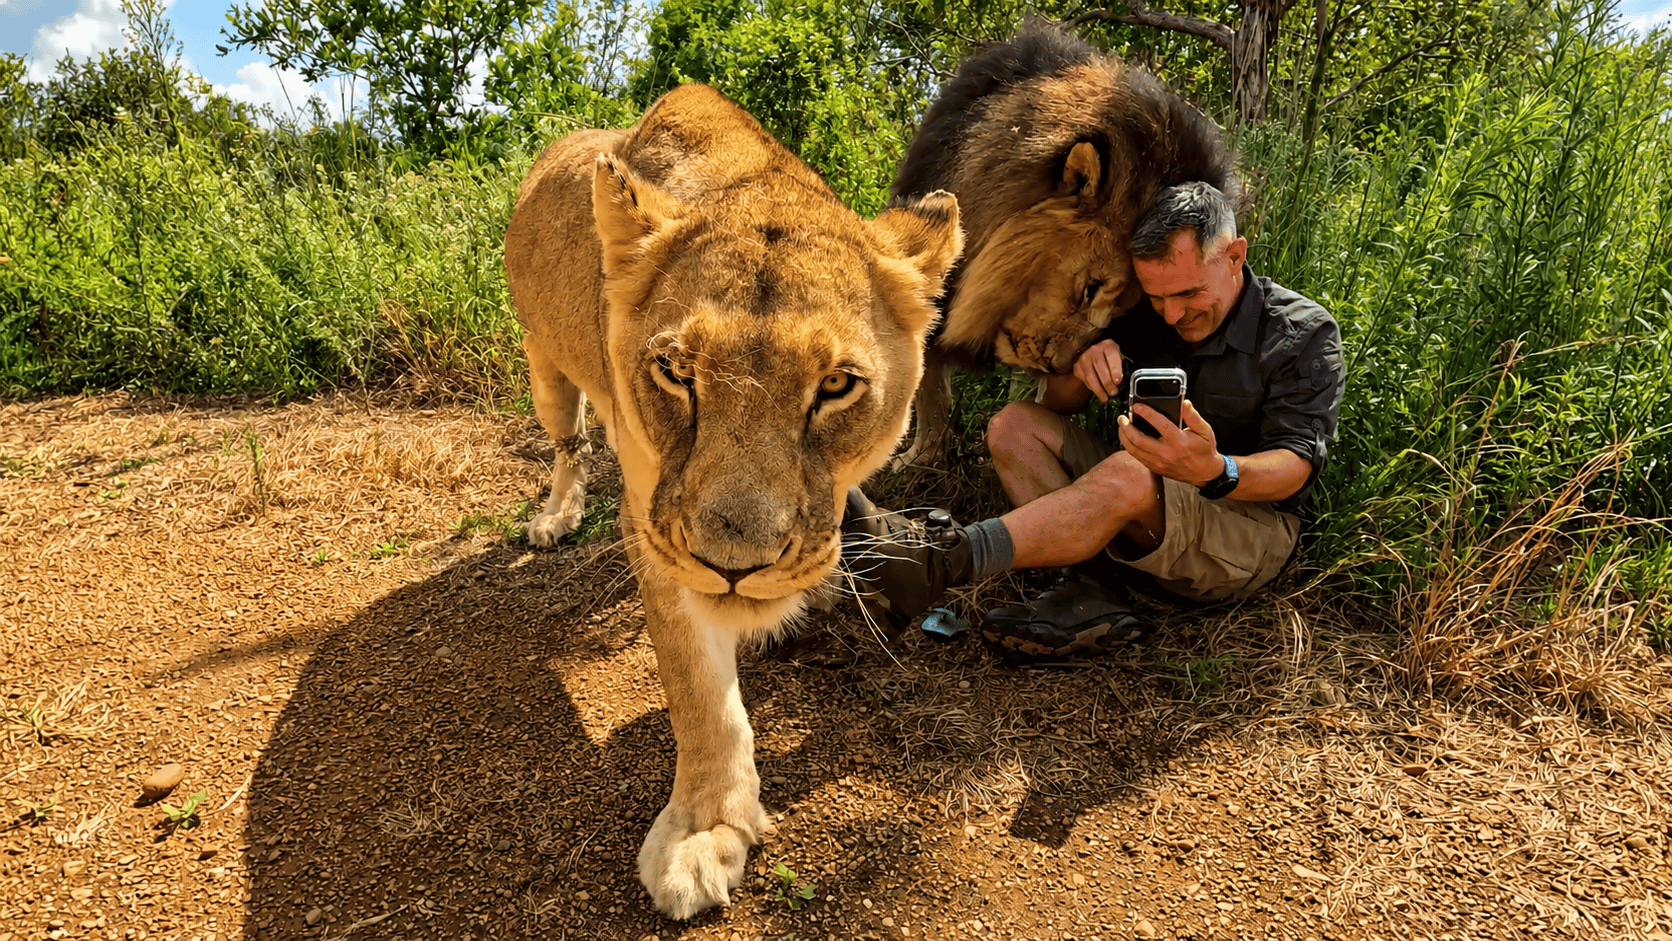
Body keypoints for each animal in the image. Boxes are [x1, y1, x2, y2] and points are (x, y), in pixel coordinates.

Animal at [501, 83, 962, 919]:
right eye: (676, 372)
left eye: (837, 385)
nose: (736, 568)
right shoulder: (655, 526)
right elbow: (700, 697)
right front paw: (704, 833)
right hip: (542, 358)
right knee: (565, 439)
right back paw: (555, 515)